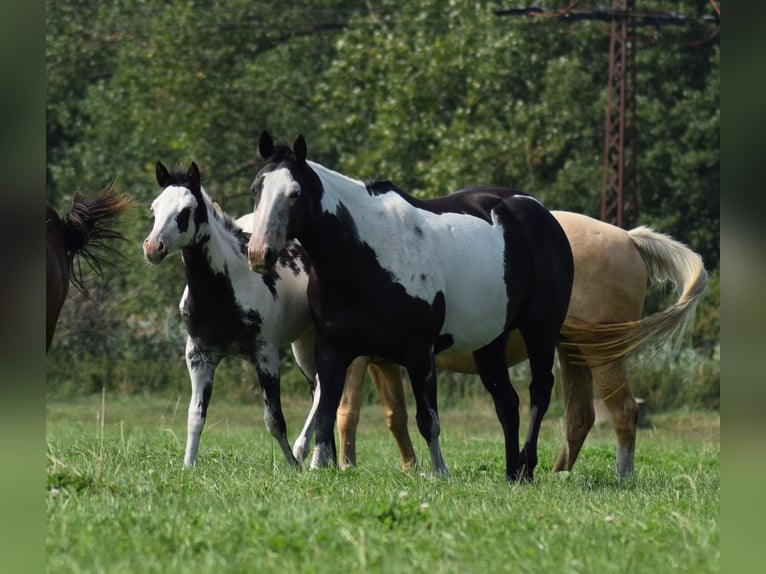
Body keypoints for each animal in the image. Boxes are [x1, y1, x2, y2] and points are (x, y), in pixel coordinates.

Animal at [143, 161, 319, 468]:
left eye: (185, 210)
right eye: (155, 208)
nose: (153, 248)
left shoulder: (265, 355)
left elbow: (274, 420)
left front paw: (293, 466)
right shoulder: (200, 356)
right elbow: (195, 417)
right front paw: (187, 466)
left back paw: (304, 452)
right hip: (303, 344)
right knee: (318, 387)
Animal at [247, 132, 574, 482]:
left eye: (294, 193)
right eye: (256, 189)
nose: (259, 254)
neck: (363, 256)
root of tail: (540, 213)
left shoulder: (419, 353)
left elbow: (428, 420)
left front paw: (440, 472)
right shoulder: (333, 349)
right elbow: (326, 413)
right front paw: (319, 465)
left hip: (540, 330)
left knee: (539, 391)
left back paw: (527, 463)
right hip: (490, 342)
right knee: (507, 403)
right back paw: (513, 473)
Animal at [333, 212, 708, 479]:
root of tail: (629, 238)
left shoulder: (358, 357)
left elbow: (346, 411)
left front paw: (345, 466)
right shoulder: (383, 362)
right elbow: (395, 416)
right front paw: (411, 468)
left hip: (601, 353)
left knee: (624, 412)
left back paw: (622, 476)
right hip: (572, 351)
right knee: (580, 417)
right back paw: (558, 475)